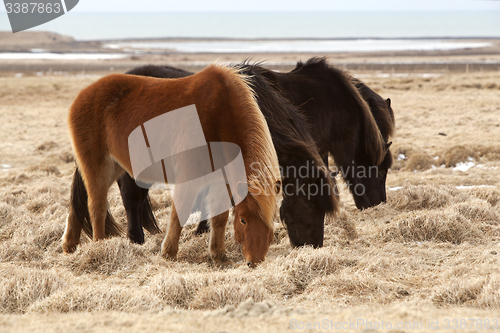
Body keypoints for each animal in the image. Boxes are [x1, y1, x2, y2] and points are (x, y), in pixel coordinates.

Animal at [258, 56, 394, 208]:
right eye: (382, 172)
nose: (380, 202)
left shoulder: (320, 148)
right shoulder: (344, 145)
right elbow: (351, 173)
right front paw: (362, 204)